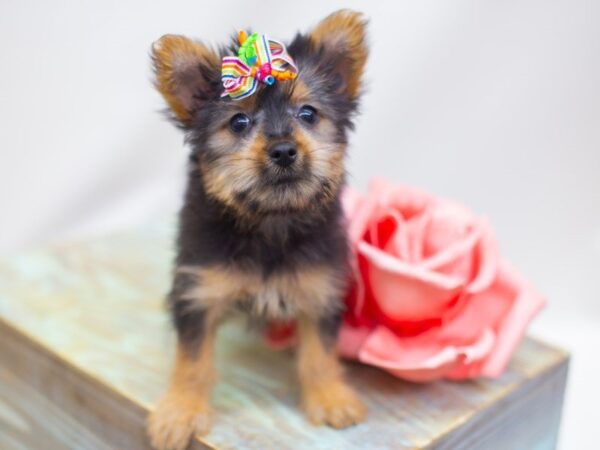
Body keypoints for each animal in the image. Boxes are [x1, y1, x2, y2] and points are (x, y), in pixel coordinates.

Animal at [148, 10, 368, 450]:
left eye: (308, 114)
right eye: (239, 121)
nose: (283, 150)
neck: (270, 218)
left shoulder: (320, 287)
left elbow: (320, 352)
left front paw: (330, 397)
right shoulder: (199, 289)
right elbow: (192, 358)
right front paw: (181, 410)